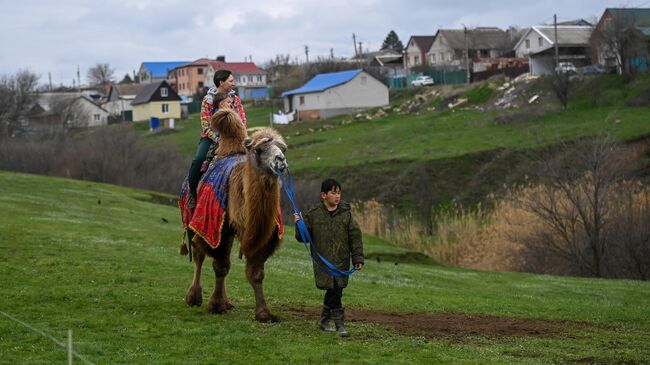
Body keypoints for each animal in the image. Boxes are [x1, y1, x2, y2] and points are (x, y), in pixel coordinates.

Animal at [181, 108, 284, 322]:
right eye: (259, 150)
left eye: (283, 149)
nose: (280, 161)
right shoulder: (214, 227)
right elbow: (221, 266)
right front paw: (215, 305)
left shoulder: (263, 234)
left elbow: (256, 272)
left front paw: (264, 313)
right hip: (195, 220)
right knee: (199, 255)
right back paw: (194, 297)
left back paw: (227, 301)